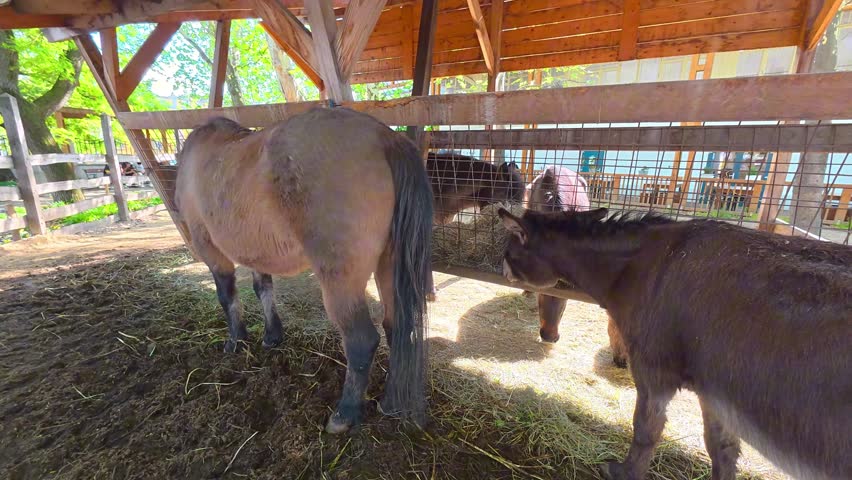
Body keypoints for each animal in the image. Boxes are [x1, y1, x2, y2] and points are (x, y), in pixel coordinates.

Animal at [174, 107, 433, 434]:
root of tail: (383, 136)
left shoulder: (211, 250)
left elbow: (227, 296)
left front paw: (236, 341)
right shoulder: (255, 253)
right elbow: (263, 290)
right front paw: (272, 335)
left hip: (341, 280)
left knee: (362, 340)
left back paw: (345, 414)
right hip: (389, 267)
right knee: (396, 327)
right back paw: (390, 402)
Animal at [497, 207, 851, 480]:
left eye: (509, 252)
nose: (505, 273)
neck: (635, 268)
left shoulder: (654, 372)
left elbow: (646, 431)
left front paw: (624, 473)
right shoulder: (714, 391)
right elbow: (721, 449)